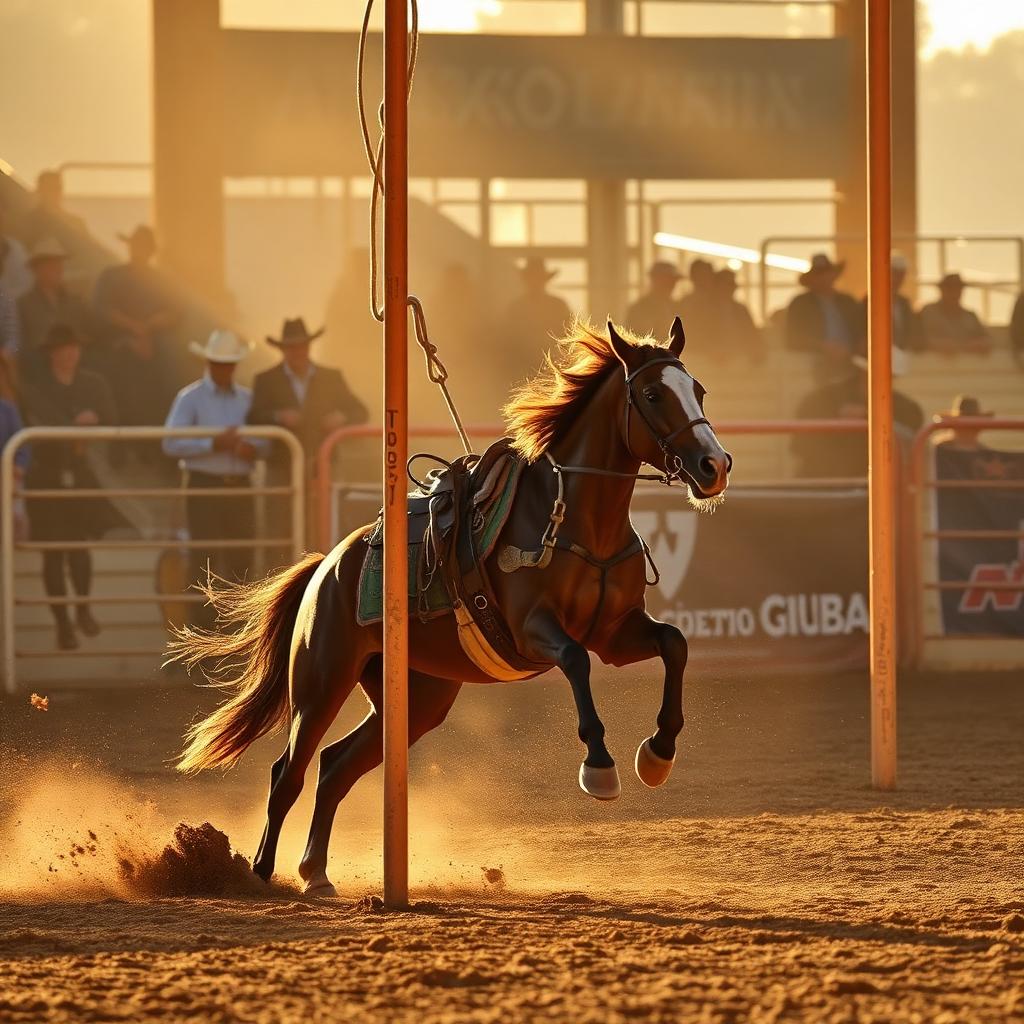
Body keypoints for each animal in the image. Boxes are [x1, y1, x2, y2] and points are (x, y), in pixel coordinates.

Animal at [169, 317, 731, 896]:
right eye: (652, 394)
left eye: (698, 390)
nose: (714, 465)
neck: (574, 521)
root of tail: (328, 565)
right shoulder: (535, 631)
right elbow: (576, 662)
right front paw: (599, 766)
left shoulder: (615, 634)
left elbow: (674, 644)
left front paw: (658, 753)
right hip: (320, 682)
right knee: (289, 773)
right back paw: (258, 872)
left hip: (416, 699)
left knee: (335, 766)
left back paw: (316, 872)